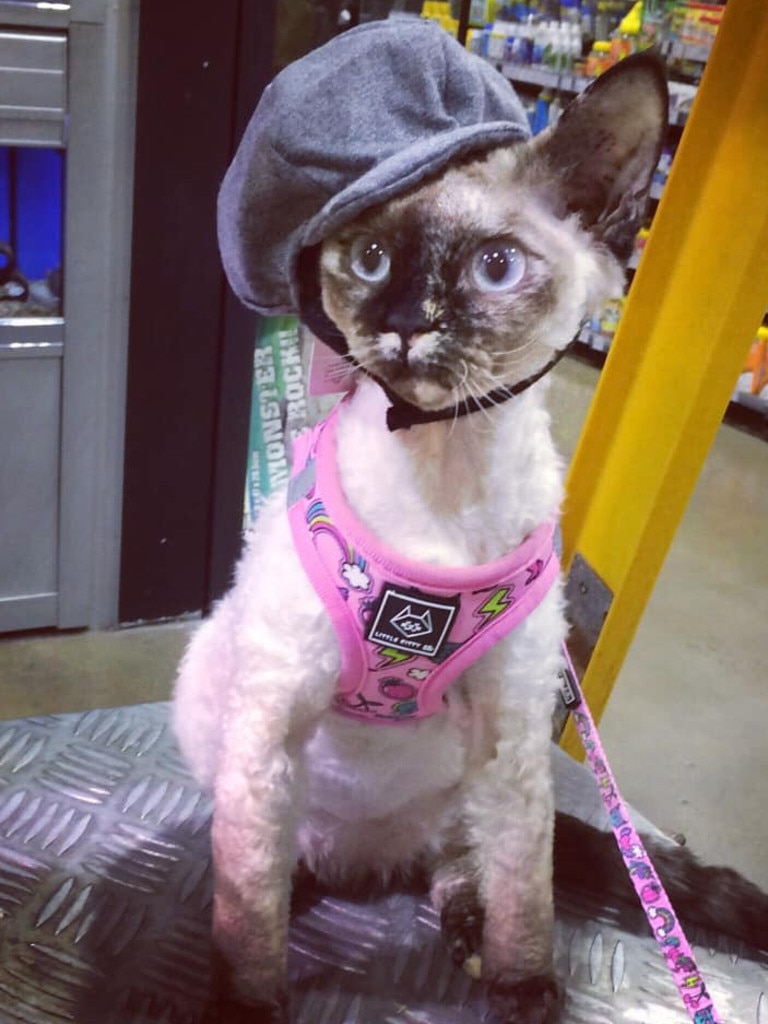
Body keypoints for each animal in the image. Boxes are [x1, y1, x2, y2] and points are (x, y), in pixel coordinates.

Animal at [174, 18, 768, 1024]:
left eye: (495, 268)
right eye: (370, 259)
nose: (407, 324)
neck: (440, 475)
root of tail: (370, 860)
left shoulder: (514, 731)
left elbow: (527, 893)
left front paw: (527, 985)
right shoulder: (270, 724)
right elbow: (248, 915)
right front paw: (249, 1000)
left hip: (474, 787)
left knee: (467, 866)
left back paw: (470, 941)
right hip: (232, 732)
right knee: (270, 867)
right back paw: (306, 893)